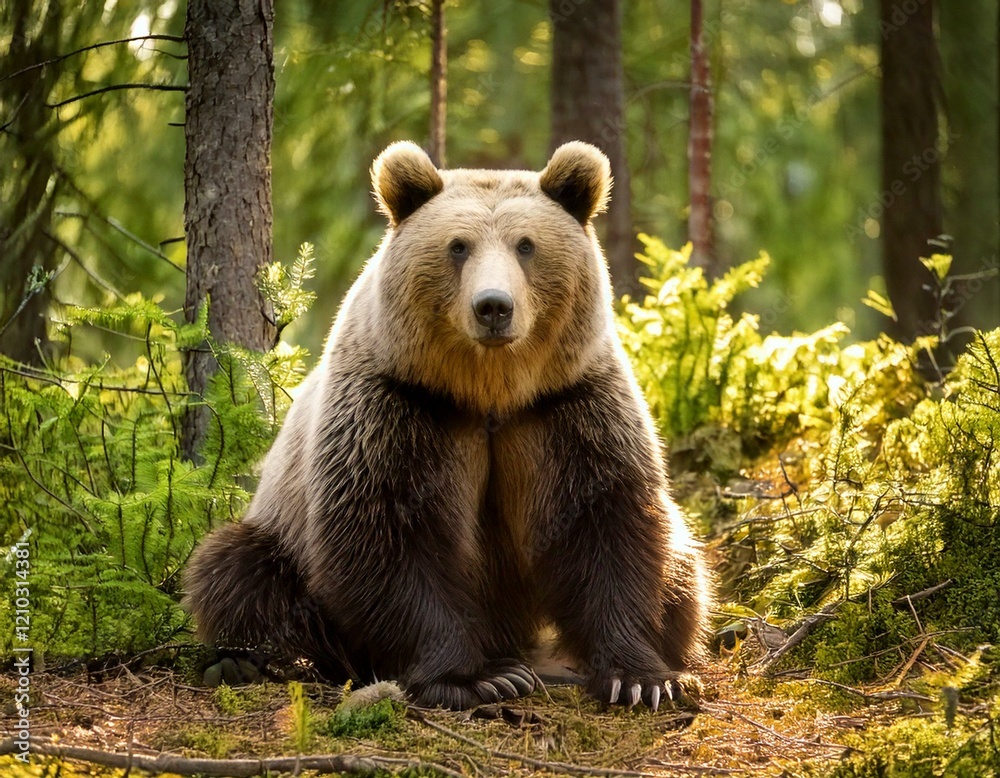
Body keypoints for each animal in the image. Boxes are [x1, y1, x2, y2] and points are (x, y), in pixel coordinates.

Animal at [183, 140, 711, 711]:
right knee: (237, 572)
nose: (494, 306)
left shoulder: (567, 407)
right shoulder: (400, 406)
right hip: (281, 533)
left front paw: (642, 678)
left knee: (686, 569)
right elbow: (389, 536)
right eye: (458, 246)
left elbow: (608, 525)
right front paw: (478, 678)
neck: (490, 391)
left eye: (526, 246)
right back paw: (250, 660)